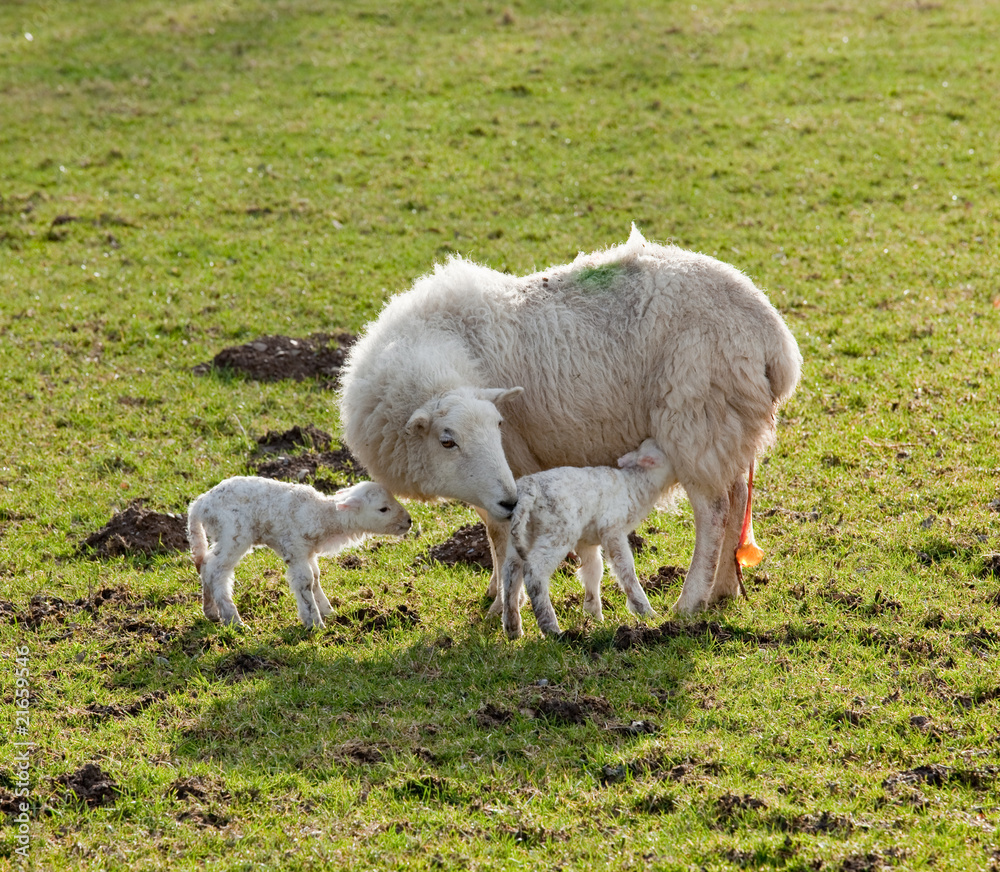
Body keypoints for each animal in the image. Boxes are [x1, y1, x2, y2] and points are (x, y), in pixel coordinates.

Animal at [187, 477, 411, 629]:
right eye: (383, 509)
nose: (409, 521)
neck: (321, 514)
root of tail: (199, 505)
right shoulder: (295, 549)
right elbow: (305, 582)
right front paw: (314, 622)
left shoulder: (308, 552)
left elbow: (316, 578)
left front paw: (327, 611)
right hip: (233, 533)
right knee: (216, 572)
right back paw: (234, 620)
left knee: (205, 565)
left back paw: (211, 612)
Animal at [339, 225, 800, 616]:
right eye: (447, 440)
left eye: (498, 426)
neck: (445, 346)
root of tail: (774, 339)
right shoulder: (495, 482)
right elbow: (492, 531)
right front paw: (494, 590)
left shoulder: (511, 469)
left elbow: (502, 536)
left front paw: (501, 604)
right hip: (729, 424)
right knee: (738, 497)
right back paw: (724, 589)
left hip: (696, 419)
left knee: (714, 511)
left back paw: (690, 601)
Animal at [500, 438, 671, 639]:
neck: (636, 484)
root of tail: (528, 489)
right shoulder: (612, 529)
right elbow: (625, 567)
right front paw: (645, 610)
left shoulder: (586, 541)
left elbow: (593, 569)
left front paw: (594, 614)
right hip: (558, 531)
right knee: (534, 571)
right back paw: (551, 628)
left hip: (522, 534)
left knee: (510, 571)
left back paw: (512, 627)